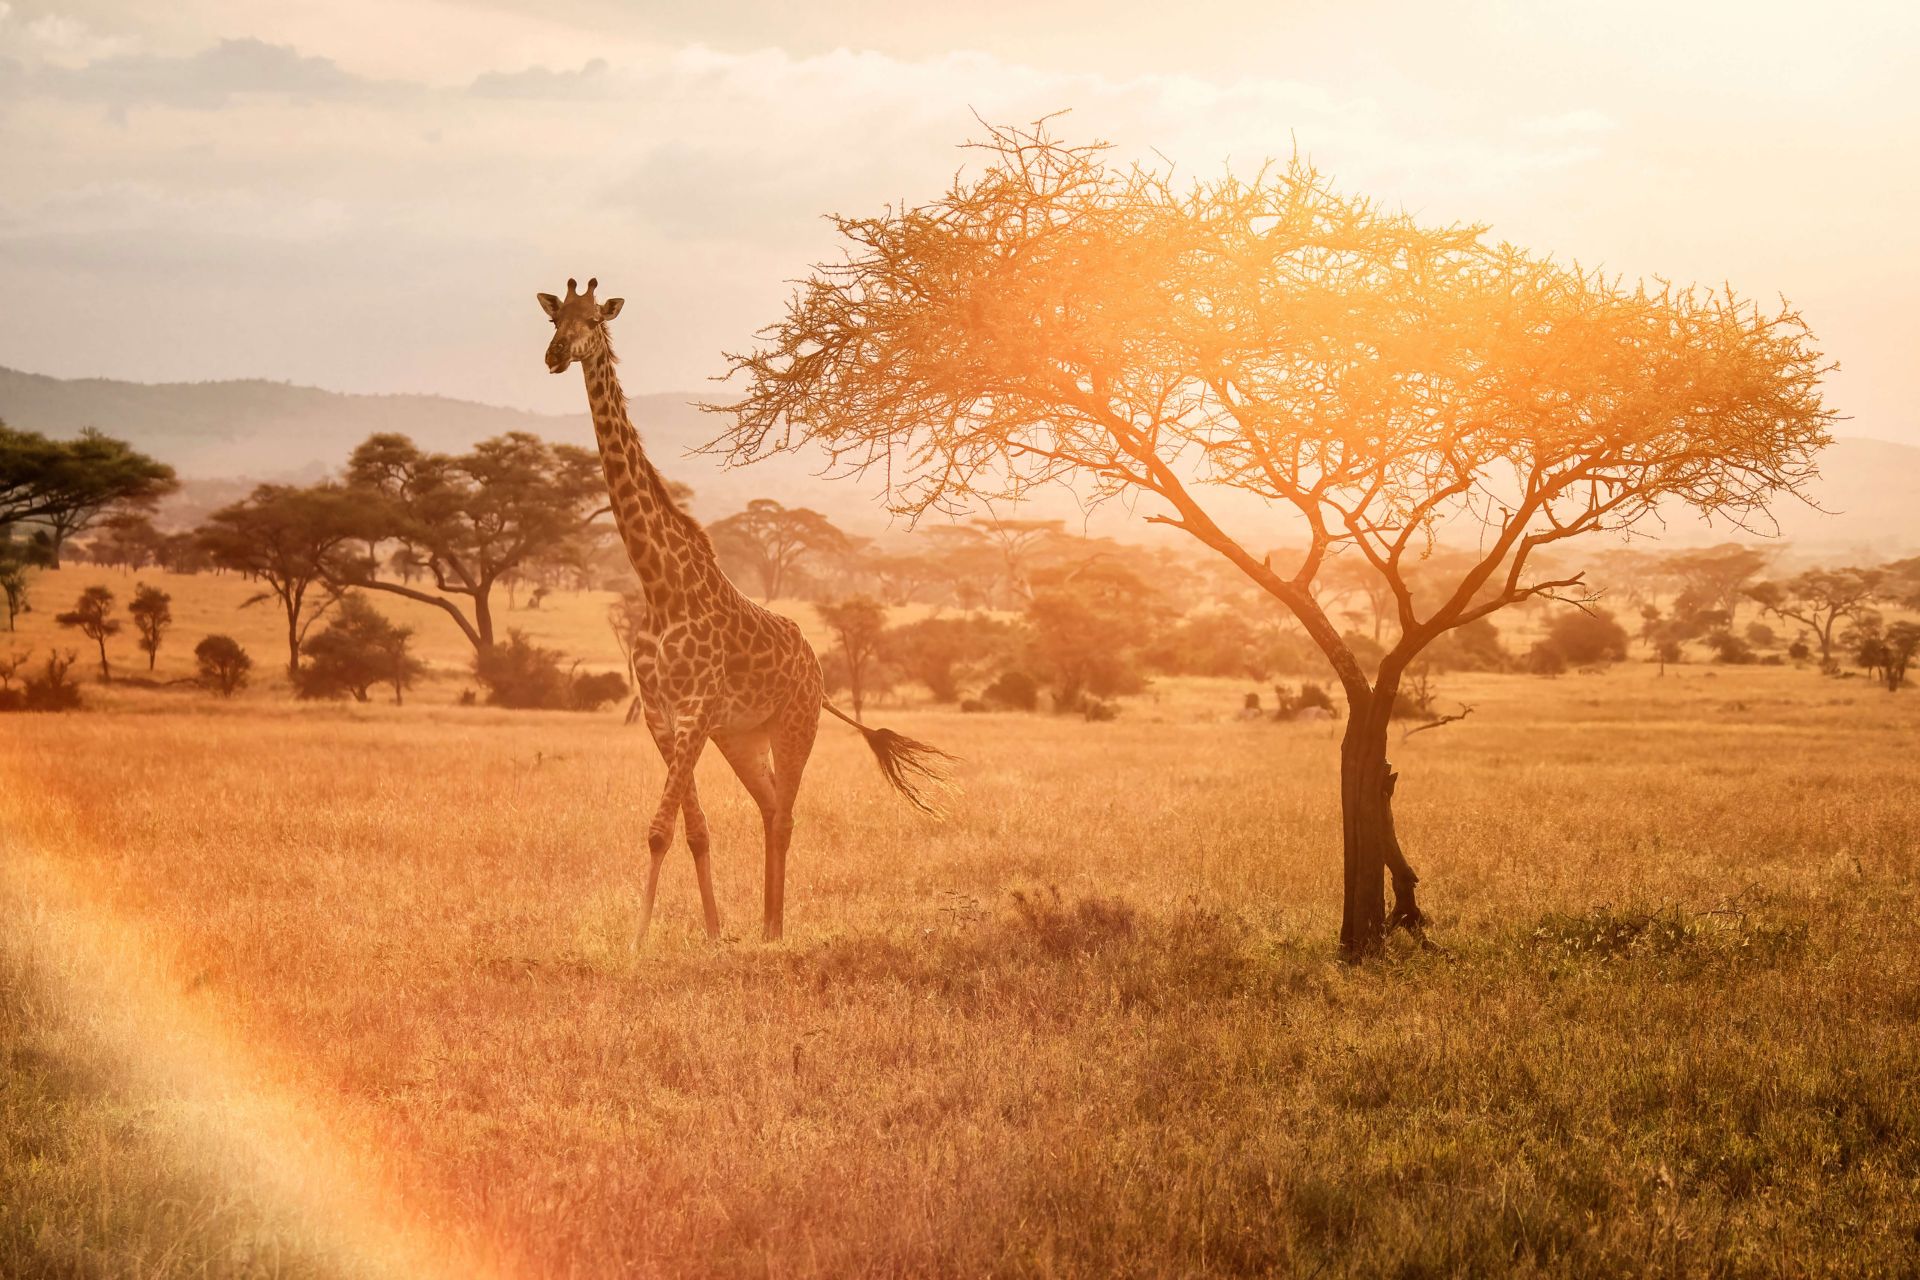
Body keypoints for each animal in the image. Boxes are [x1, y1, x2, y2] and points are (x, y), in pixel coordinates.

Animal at [538, 276, 954, 941]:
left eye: (593, 320)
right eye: (556, 319)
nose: (554, 356)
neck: (659, 585)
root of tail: (816, 668)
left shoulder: (695, 710)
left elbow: (659, 830)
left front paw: (637, 940)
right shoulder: (662, 716)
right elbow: (694, 830)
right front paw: (711, 932)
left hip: (795, 726)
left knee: (785, 814)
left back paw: (776, 931)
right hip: (743, 739)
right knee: (768, 806)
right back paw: (764, 925)